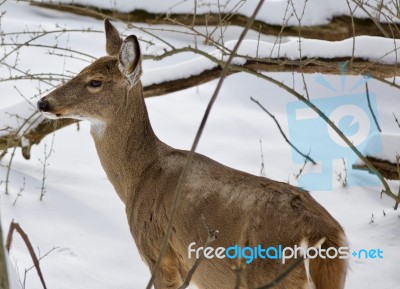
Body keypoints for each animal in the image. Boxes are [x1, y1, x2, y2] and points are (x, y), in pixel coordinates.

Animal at [37, 19, 346, 288]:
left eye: (95, 81)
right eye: (82, 70)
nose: (43, 102)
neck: (139, 177)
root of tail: (324, 236)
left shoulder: (158, 252)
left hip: (267, 275)